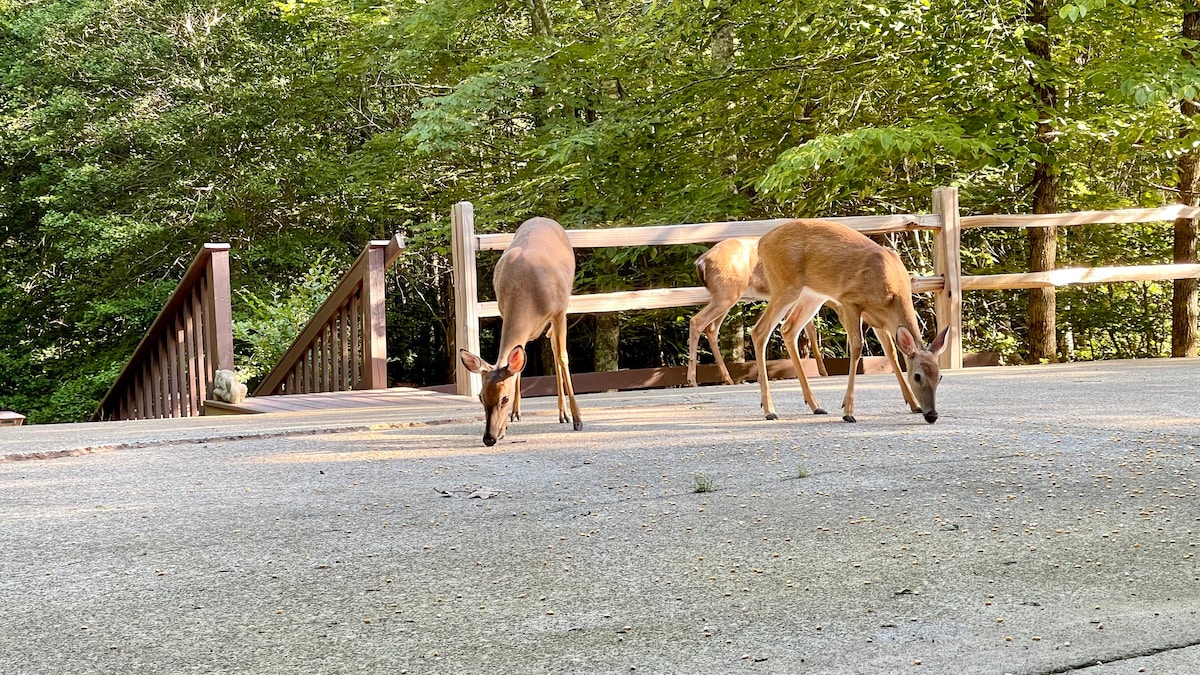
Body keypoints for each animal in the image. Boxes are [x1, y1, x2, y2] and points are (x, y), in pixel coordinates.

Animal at [456, 216, 583, 446]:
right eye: (480, 397)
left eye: (503, 398)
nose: (489, 438)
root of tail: (544, 218)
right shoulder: (503, 310)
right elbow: (517, 368)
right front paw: (505, 426)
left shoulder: (559, 311)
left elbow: (563, 358)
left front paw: (578, 419)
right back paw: (521, 413)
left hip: (563, 305)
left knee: (555, 350)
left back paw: (565, 414)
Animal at [691, 236, 830, 386]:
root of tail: (701, 262)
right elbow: (809, 330)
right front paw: (823, 371)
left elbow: (810, 330)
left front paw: (821, 371)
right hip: (726, 292)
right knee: (697, 321)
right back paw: (692, 380)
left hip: (726, 296)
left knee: (711, 329)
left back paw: (727, 378)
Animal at [744, 219, 950, 420]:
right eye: (917, 376)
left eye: (940, 377)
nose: (932, 415)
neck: (893, 292)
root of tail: (762, 243)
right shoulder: (850, 302)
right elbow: (857, 347)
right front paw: (848, 411)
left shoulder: (879, 319)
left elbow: (891, 352)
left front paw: (914, 404)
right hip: (785, 286)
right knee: (759, 330)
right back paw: (770, 410)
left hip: (812, 296)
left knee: (788, 329)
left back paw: (815, 405)